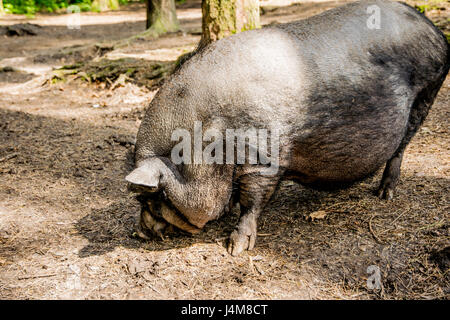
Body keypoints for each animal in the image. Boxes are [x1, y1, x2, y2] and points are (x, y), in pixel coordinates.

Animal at [126, 0, 450, 255]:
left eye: (153, 195)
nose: (139, 232)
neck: (207, 139)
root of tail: (434, 30)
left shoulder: (262, 158)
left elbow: (252, 202)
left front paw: (235, 248)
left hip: (428, 91)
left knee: (401, 148)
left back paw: (384, 194)